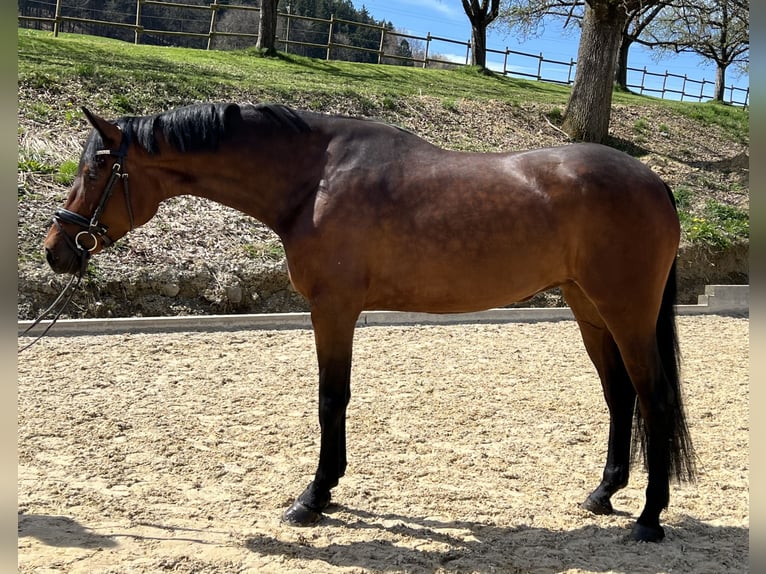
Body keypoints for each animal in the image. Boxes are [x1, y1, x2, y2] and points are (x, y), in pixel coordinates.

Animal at [45, 102, 700, 544]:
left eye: (97, 171)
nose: (56, 252)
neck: (313, 179)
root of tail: (657, 183)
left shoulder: (332, 309)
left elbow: (331, 398)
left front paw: (314, 496)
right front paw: (327, 491)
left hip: (626, 312)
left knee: (655, 398)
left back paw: (649, 519)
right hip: (589, 308)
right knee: (620, 396)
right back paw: (603, 494)